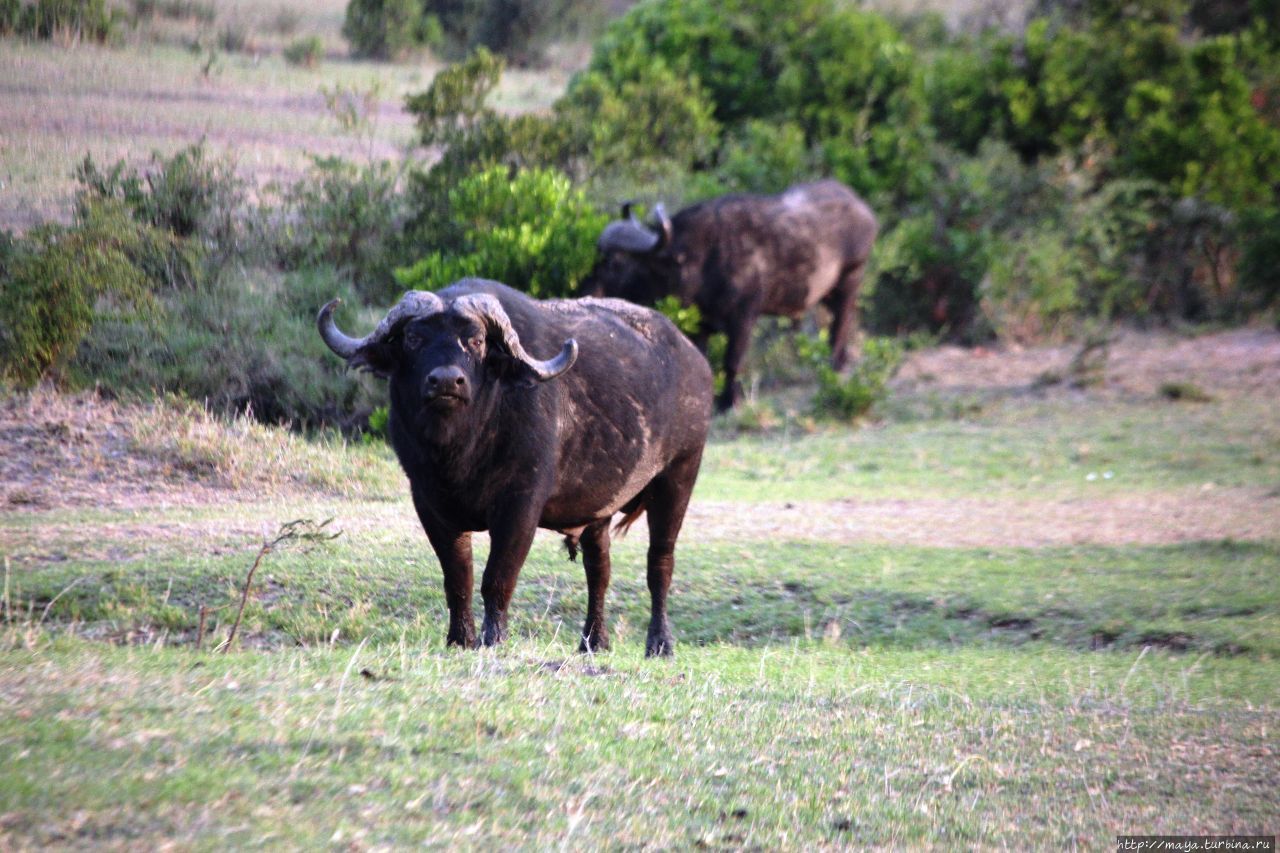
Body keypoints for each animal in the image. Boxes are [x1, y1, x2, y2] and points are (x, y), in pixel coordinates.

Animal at [311, 277, 711, 650]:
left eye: (476, 341)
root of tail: (695, 361)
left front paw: (494, 638)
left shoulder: (521, 504)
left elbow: (498, 577)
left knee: (660, 563)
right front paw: (460, 639)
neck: (460, 453)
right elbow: (458, 578)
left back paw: (659, 643)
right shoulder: (429, 503)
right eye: (413, 338)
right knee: (599, 568)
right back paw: (593, 641)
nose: (446, 381)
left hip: (679, 477)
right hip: (599, 508)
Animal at [583, 179, 875, 412]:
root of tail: (862, 208)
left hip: (851, 279)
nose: (587, 291)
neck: (700, 260)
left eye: (614, 261)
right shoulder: (700, 326)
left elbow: (732, 361)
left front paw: (727, 402)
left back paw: (836, 366)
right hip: (829, 294)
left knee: (842, 322)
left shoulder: (743, 317)